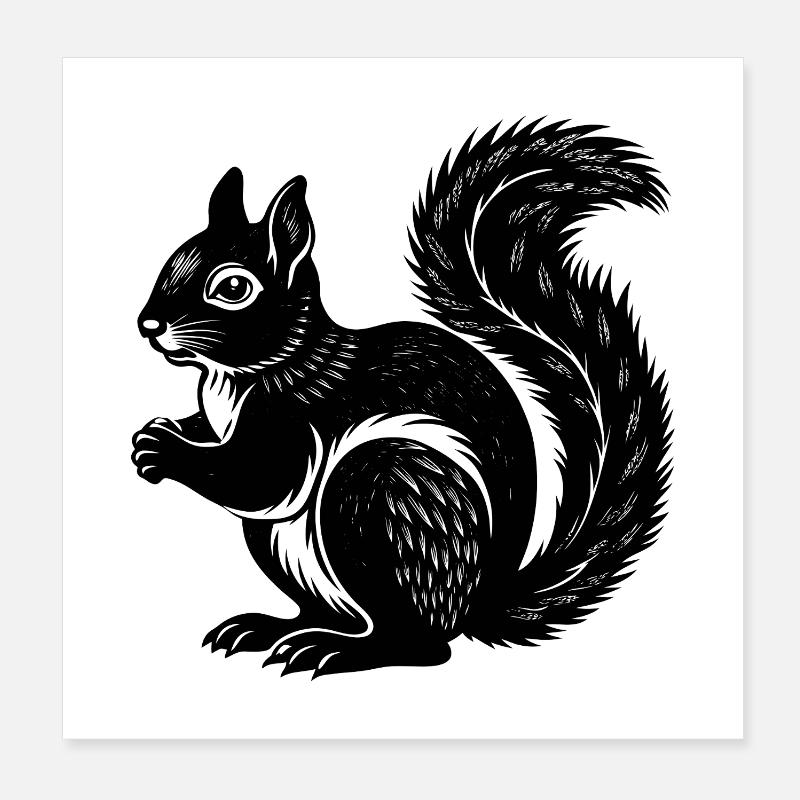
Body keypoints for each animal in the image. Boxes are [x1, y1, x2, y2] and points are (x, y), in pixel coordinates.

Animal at [132, 119, 671, 678]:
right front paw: (164, 429)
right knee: (330, 612)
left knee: (420, 644)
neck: (242, 374)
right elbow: (214, 437)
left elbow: (258, 479)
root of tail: (477, 605)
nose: (148, 325)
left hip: (381, 497)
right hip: (285, 545)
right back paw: (271, 629)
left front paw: (164, 451)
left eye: (234, 288)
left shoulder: (294, 418)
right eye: (173, 259)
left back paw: (337, 650)